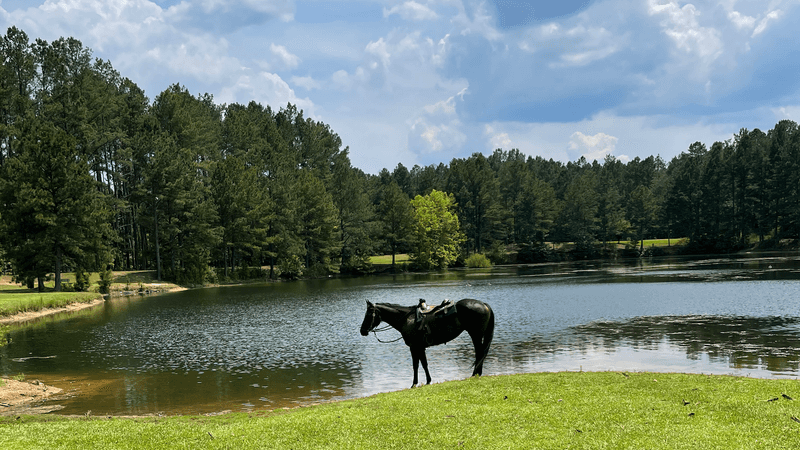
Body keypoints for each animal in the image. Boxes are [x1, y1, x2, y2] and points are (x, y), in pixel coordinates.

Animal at [360, 299, 495, 387]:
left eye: (368, 314)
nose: (362, 331)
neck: (407, 319)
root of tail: (484, 304)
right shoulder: (420, 348)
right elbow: (424, 364)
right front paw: (428, 380)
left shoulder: (414, 347)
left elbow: (416, 365)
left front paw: (414, 383)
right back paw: (477, 373)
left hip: (476, 335)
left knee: (479, 353)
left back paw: (475, 373)